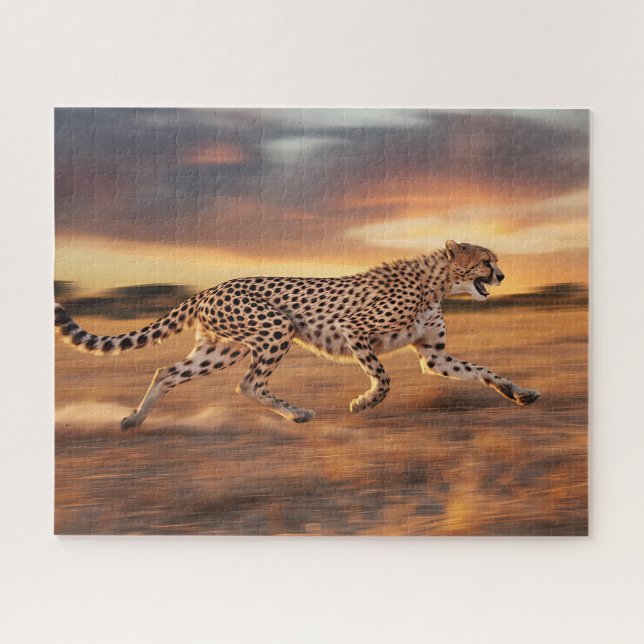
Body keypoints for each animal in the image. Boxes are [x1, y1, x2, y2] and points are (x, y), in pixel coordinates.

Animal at [54, 241, 540, 429]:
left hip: (222, 348)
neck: (437, 283)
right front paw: (363, 403)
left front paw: (520, 393)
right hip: (275, 327)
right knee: (249, 383)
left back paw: (135, 419)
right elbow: (383, 379)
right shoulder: (353, 329)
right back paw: (298, 413)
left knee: (167, 372)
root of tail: (210, 287)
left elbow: (483, 370)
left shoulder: (434, 356)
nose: (502, 276)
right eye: (485, 261)